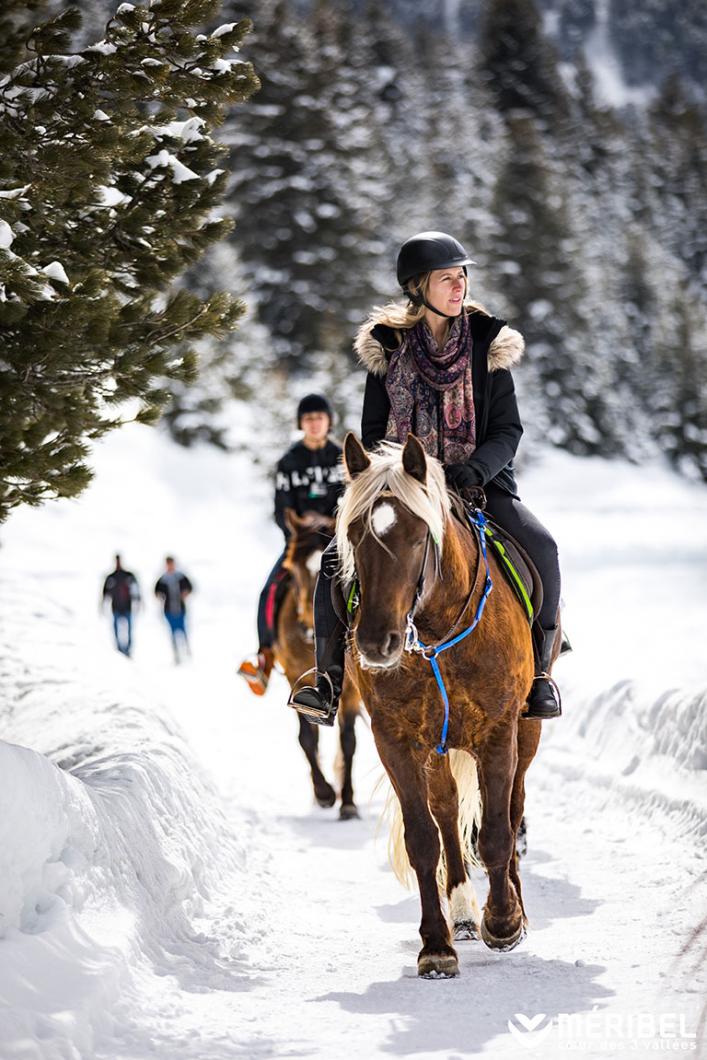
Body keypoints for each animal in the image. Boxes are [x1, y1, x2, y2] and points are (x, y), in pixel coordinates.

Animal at [275, 510, 360, 818]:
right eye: (293, 571)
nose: (311, 632)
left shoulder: (351, 689)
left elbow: (348, 742)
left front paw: (347, 802)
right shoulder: (294, 676)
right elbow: (306, 738)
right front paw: (323, 793)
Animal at [339, 430, 546, 975]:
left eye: (417, 536)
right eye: (354, 535)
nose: (376, 643)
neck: (436, 637)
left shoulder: (499, 733)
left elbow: (496, 831)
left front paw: (504, 922)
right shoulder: (396, 741)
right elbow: (423, 840)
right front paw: (436, 944)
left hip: (528, 730)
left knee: (513, 809)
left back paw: (510, 908)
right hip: (437, 748)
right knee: (449, 813)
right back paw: (465, 913)